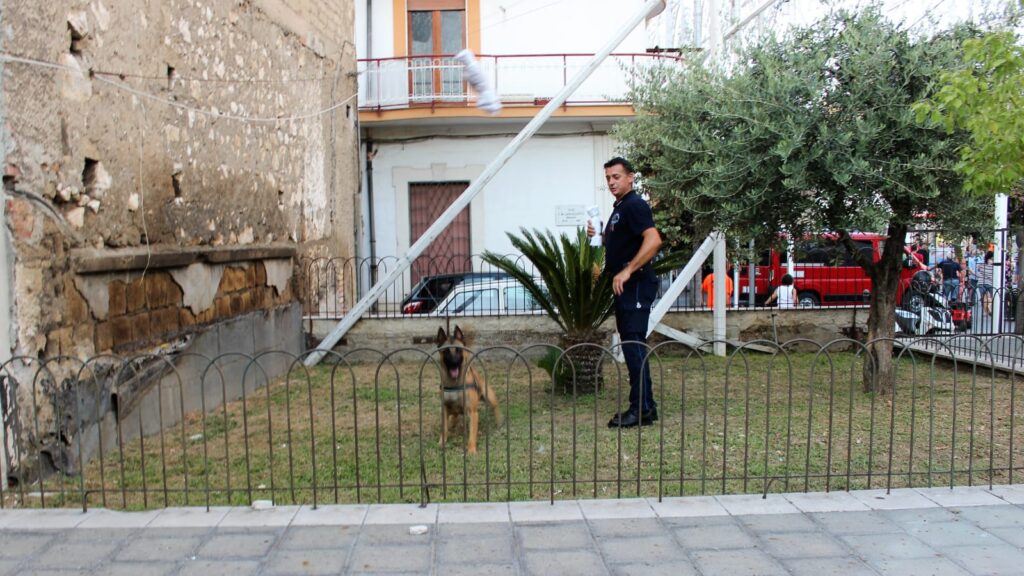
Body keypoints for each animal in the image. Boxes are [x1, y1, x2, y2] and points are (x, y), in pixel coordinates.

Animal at [434, 323, 501, 453]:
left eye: (458, 350)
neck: (454, 384)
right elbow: (444, 428)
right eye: (446, 351)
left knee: (496, 408)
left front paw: (471, 450)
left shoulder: (473, 412)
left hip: (490, 398)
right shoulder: (445, 409)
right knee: (453, 418)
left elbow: (472, 433)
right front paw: (441, 442)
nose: (454, 363)